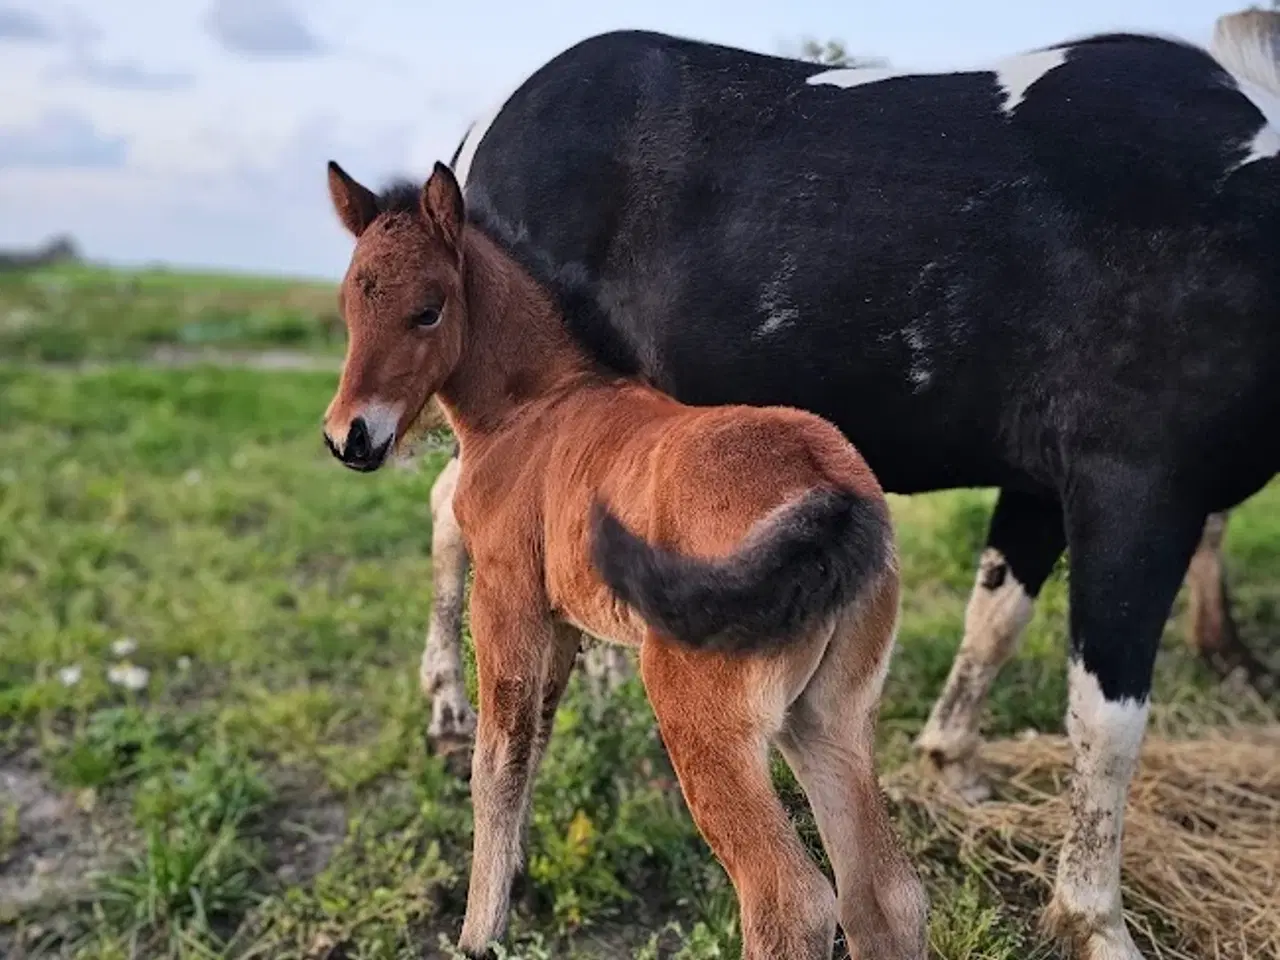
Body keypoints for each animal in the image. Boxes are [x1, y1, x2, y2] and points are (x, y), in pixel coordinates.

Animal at [317, 161, 921, 957]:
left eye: (428, 311)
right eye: (350, 303)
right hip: (830, 716)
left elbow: (494, 762)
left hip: (702, 717)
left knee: (790, 902)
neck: (534, 409)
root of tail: (830, 488)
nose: (350, 437)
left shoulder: (504, 597)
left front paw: (479, 934)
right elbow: (534, 746)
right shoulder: (563, 621)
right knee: (886, 896)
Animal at [412, 15, 1280, 960]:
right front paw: (1092, 920)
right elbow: (1107, 720)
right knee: (457, 514)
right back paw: (459, 706)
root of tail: (479, 136)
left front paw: (952, 759)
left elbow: (994, 622)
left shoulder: (1044, 488)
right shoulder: (1137, 489)